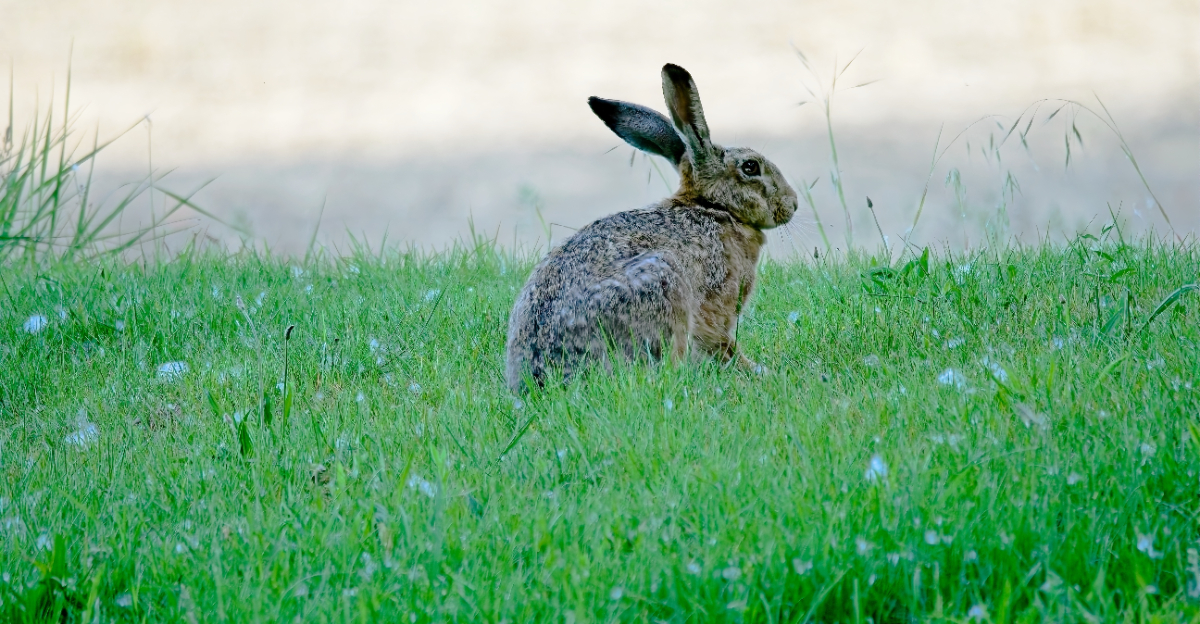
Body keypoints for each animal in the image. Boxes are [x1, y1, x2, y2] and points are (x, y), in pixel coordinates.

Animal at [505, 63, 797, 393]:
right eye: (750, 167)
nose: (793, 204)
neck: (713, 206)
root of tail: (544, 377)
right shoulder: (718, 305)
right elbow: (721, 343)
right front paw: (757, 370)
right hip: (662, 286)